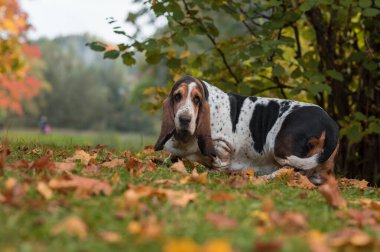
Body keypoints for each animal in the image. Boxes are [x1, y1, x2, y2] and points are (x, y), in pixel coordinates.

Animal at [153, 76, 340, 184]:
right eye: (177, 96)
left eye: (197, 99)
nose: (184, 119)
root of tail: (330, 123)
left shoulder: (223, 145)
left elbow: (219, 161)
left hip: (280, 147)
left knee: (293, 170)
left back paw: (266, 178)